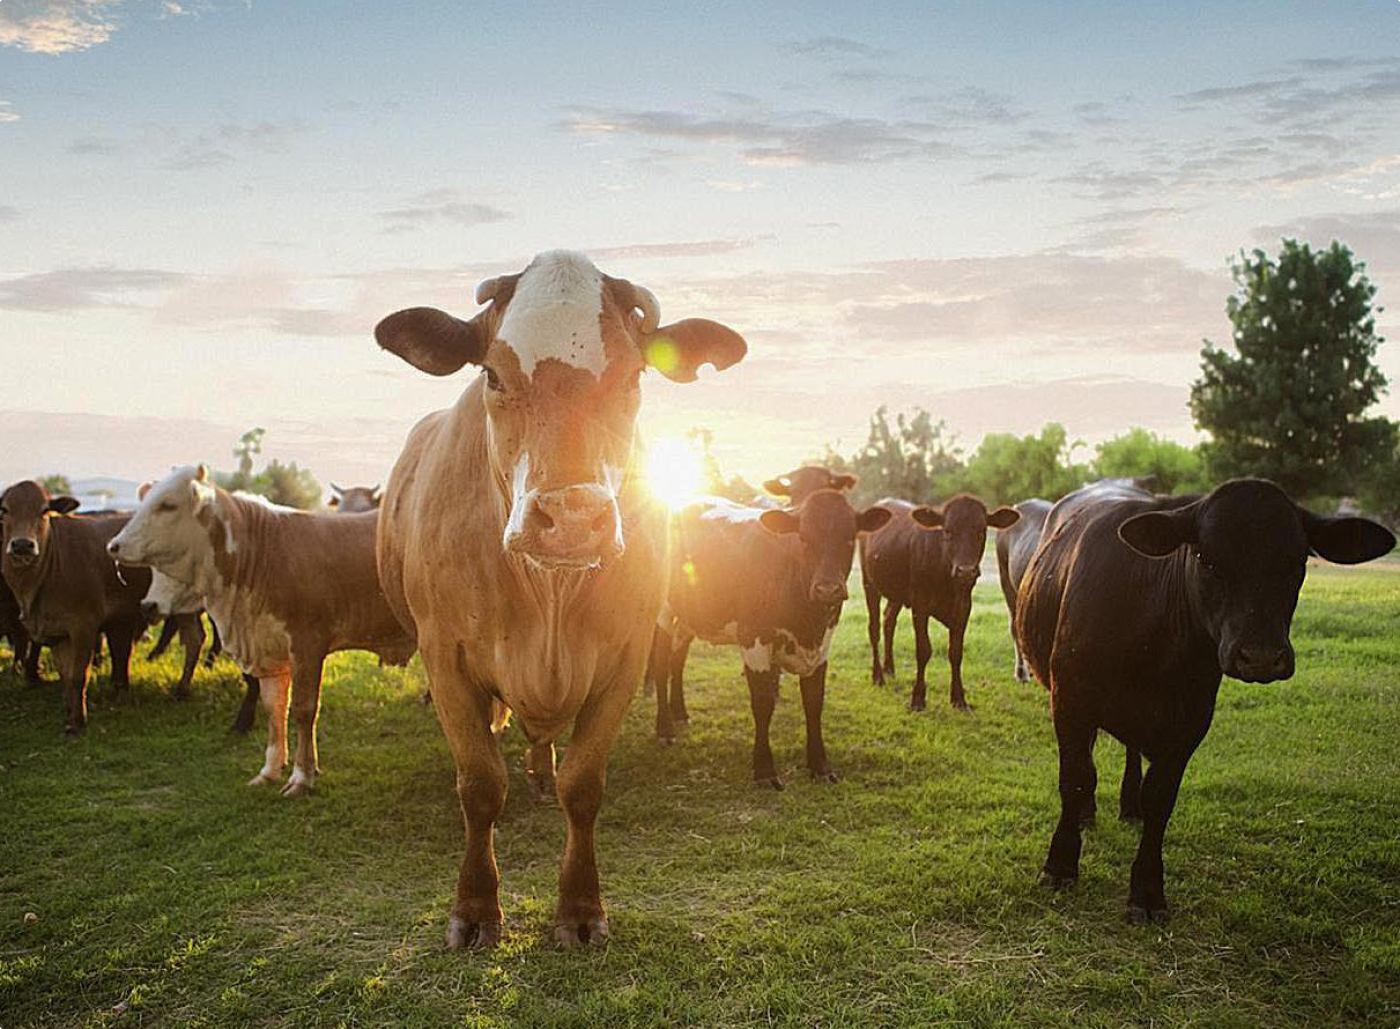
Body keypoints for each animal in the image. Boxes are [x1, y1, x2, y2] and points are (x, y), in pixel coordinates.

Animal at [0, 481, 152, 733]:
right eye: (4, 510)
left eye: (44, 510)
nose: (22, 544)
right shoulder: (57, 633)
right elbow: (66, 677)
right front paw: (71, 716)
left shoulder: (84, 626)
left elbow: (79, 675)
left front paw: (78, 723)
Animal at [374, 249, 745, 949]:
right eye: (493, 373)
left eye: (633, 376)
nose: (572, 518)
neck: (547, 596)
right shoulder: (444, 654)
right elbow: (479, 785)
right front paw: (475, 907)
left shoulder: (627, 656)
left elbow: (584, 785)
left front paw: (579, 908)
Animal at [656, 491, 891, 779]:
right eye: (804, 538)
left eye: (849, 538)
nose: (827, 589)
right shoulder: (753, 638)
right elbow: (763, 703)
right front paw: (764, 768)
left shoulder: (823, 643)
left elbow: (814, 703)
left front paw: (819, 765)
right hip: (661, 610)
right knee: (661, 664)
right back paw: (664, 728)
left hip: (690, 614)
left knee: (677, 660)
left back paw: (680, 713)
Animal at [860, 496, 1019, 711]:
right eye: (948, 531)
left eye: (981, 531)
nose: (966, 571)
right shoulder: (920, 605)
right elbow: (923, 650)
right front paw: (918, 698)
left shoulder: (964, 607)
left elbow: (956, 651)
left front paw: (959, 698)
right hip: (869, 583)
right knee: (874, 628)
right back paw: (878, 676)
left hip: (897, 593)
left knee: (888, 620)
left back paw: (889, 668)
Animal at [1015, 477, 1394, 923]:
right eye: (1206, 559)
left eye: (1297, 562)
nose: (1260, 656)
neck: (1155, 642)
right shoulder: (1071, 698)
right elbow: (1076, 778)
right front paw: (1060, 864)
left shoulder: (1190, 720)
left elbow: (1160, 799)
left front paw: (1147, 889)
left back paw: (1129, 807)